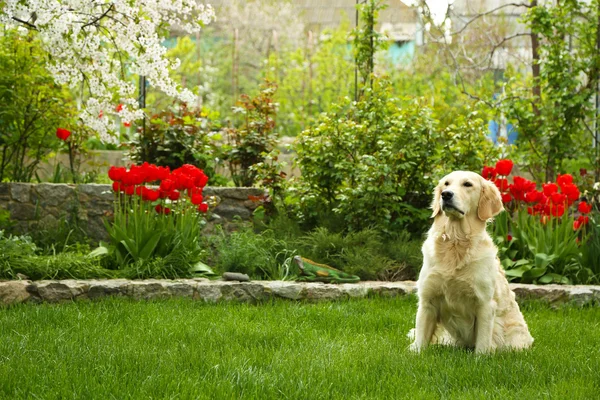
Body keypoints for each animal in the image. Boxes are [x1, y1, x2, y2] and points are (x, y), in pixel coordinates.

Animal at [410, 170, 532, 354]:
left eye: (467, 184)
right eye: (446, 184)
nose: (446, 195)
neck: (456, 243)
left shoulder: (485, 304)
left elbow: (482, 342)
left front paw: (480, 357)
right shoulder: (427, 300)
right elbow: (421, 338)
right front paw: (416, 353)